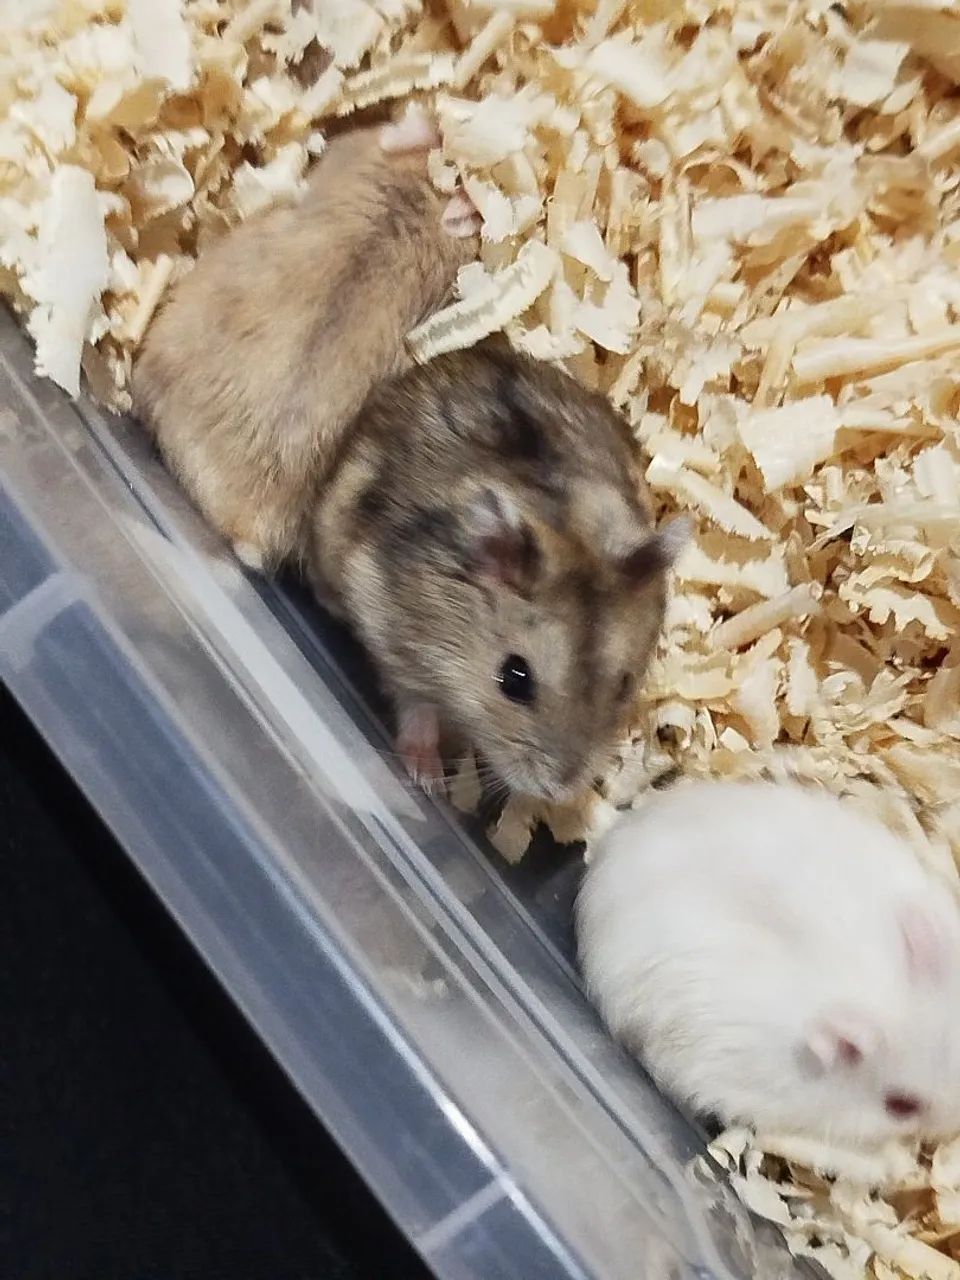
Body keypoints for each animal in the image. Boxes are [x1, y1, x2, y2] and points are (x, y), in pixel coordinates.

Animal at [307, 339, 688, 800]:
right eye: (513, 679)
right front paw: (429, 781)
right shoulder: (388, 627)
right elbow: (416, 704)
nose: (559, 790)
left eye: (624, 687)